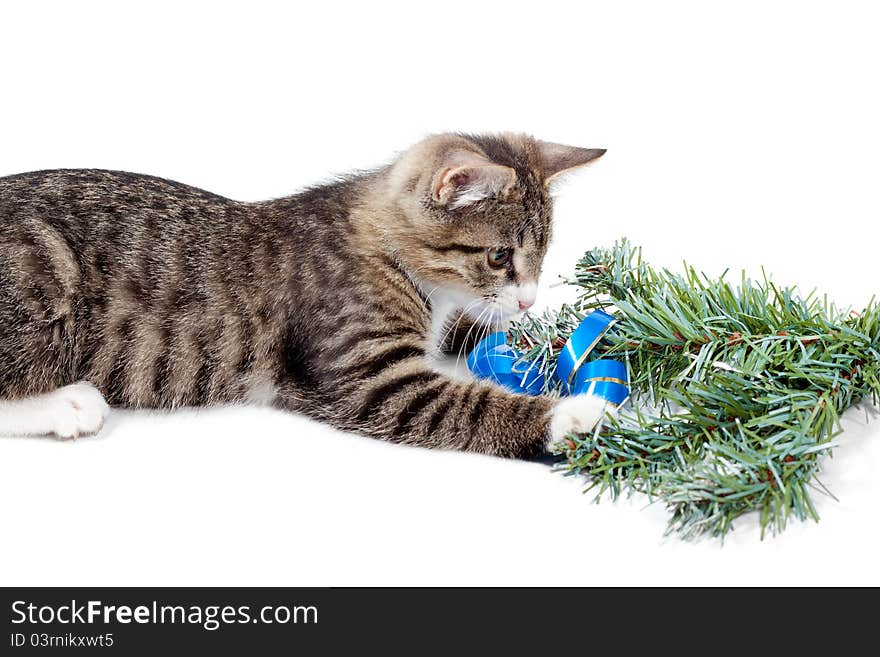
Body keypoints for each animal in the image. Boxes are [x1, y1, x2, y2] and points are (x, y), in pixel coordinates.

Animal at [0, 133, 604, 456]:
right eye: (499, 256)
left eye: (542, 255)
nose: (528, 300)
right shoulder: (368, 378)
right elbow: (467, 406)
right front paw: (575, 415)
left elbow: (479, 332)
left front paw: (550, 345)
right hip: (43, 269)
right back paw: (69, 404)